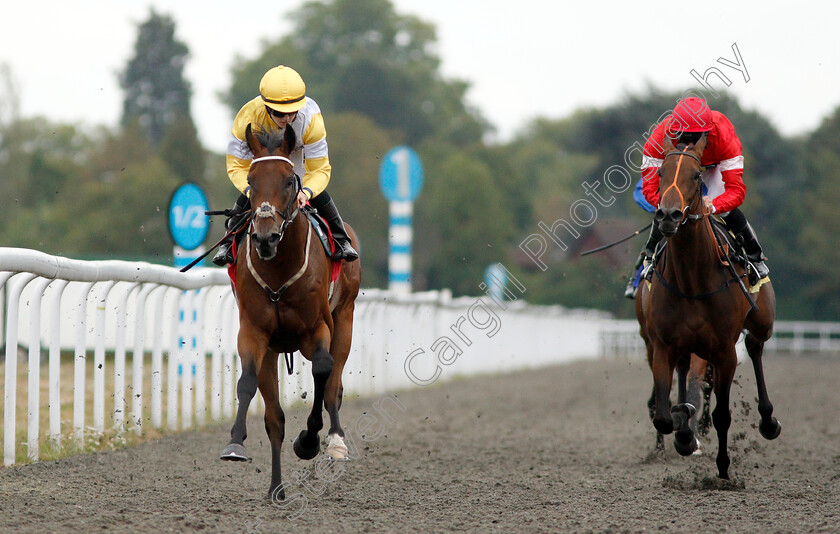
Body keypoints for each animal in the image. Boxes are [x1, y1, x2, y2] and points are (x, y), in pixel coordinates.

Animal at [217, 123, 360, 500]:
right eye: (250, 181)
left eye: (287, 182)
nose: (265, 237)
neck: (279, 269)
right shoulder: (254, 333)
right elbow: (248, 384)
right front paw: (235, 443)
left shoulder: (317, 329)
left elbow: (323, 371)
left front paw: (309, 442)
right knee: (275, 418)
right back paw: (277, 489)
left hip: (345, 318)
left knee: (333, 386)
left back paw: (335, 442)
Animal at [636, 136, 780, 480]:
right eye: (660, 173)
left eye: (696, 175)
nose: (669, 215)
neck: (692, 280)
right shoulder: (662, 345)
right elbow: (663, 413)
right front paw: (684, 433)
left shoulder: (724, 351)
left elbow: (722, 414)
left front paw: (723, 470)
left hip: (762, 321)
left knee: (755, 347)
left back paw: (768, 421)